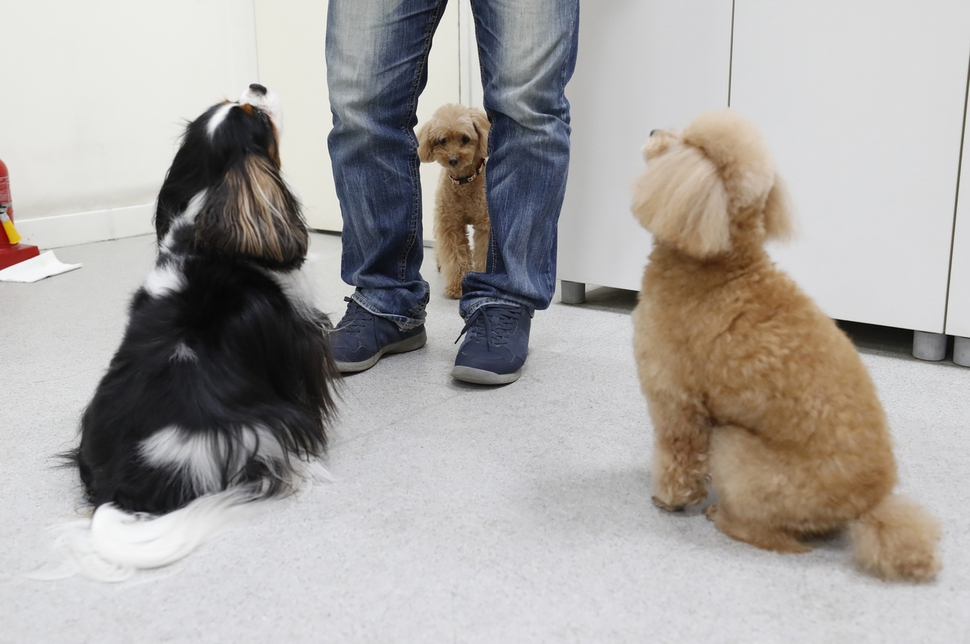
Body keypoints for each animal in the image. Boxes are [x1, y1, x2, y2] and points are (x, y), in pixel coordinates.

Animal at [45, 83, 336, 580]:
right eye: (256, 115)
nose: (256, 85)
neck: (210, 210)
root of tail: (120, 490)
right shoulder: (301, 338)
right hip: (257, 434)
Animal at [418, 104, 492, 300]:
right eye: (442, 140)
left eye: (465, 139)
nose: (452, 159)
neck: (464, 182)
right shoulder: (451, 225)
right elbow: (456, 257)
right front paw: (457, 288)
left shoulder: (485, 226)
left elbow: (483, 253)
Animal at [628, 108, 936, 580]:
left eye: (687, 144)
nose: (651, 130)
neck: (721, 265)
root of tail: (868, 508)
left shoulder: (675, 398)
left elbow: (677, 455)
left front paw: (669, 500)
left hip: (736, 450)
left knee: (770, 535)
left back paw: (722, 517)